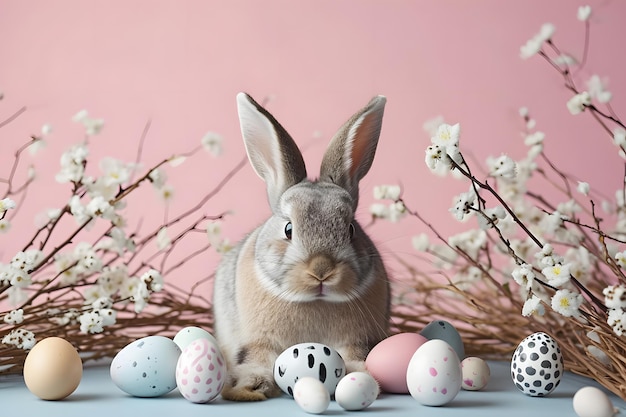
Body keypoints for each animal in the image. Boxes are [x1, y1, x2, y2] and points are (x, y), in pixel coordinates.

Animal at [214, 93, 390, 400]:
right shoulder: (259, 342)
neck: (314, 301)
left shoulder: (357, 341)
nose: (321, 269)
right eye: (288, 229)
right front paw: (247, 389)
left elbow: (355, 357)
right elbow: (257, 360)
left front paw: (360, 381)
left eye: (351, 229)